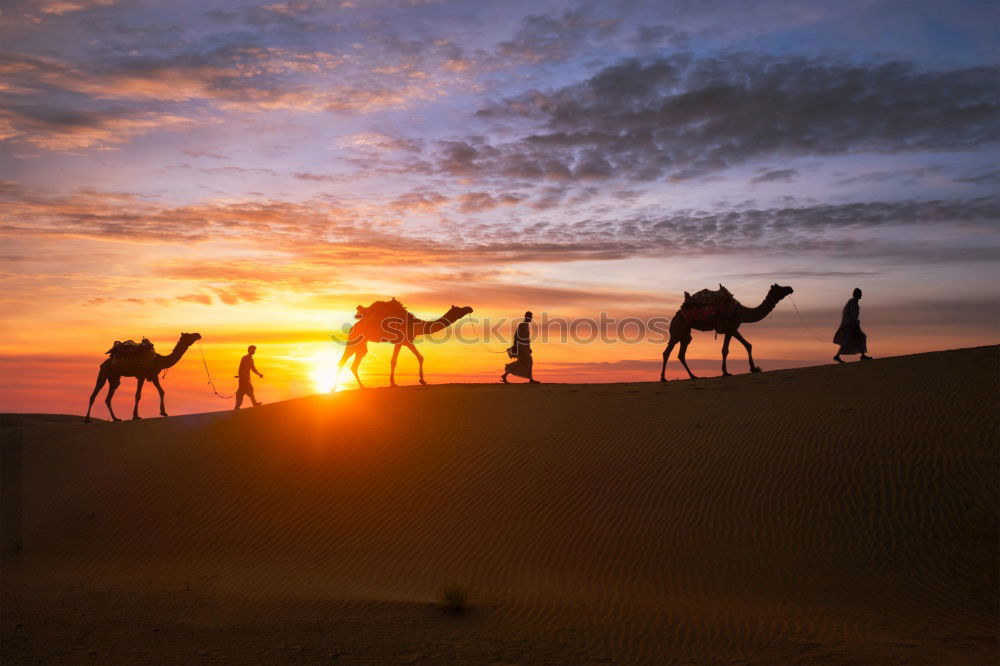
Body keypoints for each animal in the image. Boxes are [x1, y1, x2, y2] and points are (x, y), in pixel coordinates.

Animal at [660, 282, 792, 382]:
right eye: (779, 288)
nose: (790, 288)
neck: (742, 312)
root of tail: (675, 315)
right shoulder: (731, 328)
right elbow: (726, 350)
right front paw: (726, 372)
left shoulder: (732, 329)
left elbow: (746, 345)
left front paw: (753, 368)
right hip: (678, 330)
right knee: (667, 352)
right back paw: (663, 378)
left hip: (685, 333)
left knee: (681, 354)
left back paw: (694, 376)